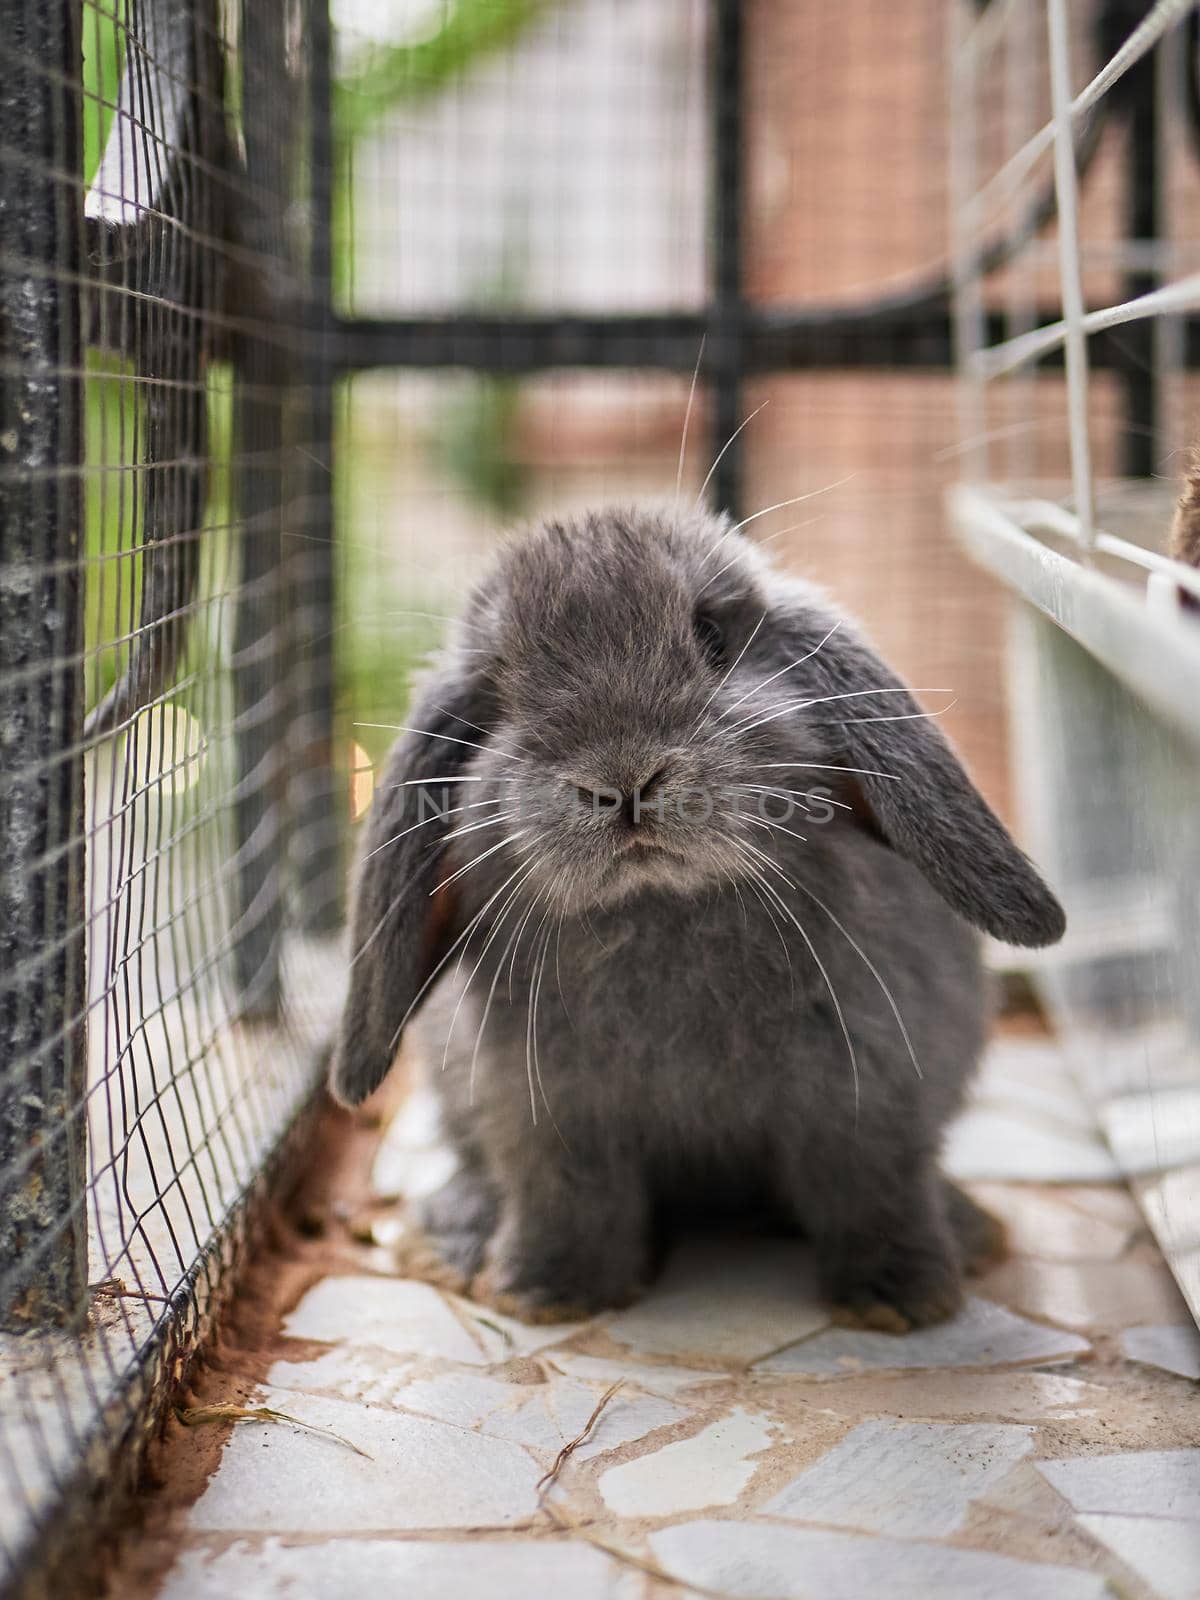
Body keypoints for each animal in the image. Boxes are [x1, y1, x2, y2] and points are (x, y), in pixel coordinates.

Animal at [331, 505, 1068, 1331]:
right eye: (498, 688)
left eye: (712, 637)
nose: (623, 780)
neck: (662, 905)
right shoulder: (549, 1115)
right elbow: (568, 1201)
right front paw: (546, 1294)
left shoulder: (870, 1099)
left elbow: (875, 1193)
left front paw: (902, 1301)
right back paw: (451, 1238)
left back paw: (969, 1233)